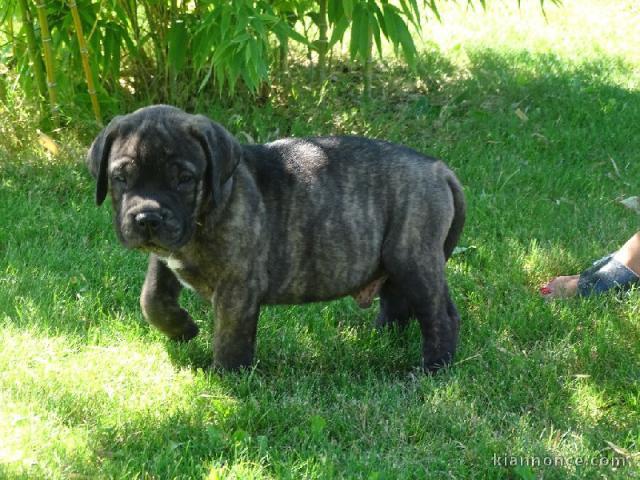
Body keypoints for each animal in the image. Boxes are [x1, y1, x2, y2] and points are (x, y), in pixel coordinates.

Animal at [86, 105, 464, 374]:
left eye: (184, 179)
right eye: (121, 177)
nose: (147, 218)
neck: (207, 212)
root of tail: (438, 168)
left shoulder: (237, 286)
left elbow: (230, 335)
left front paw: (228, 377)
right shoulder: (167, 254)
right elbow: (151, 298)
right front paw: (182, 329)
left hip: (412, 257)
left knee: (438, 315)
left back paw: (430, 368)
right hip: (394, 261)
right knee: (400, 302)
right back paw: (381, 338)